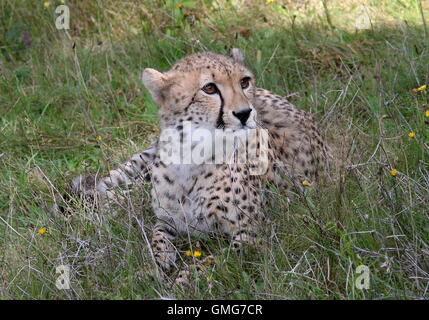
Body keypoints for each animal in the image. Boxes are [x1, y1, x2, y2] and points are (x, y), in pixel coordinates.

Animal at [57, 48, 332, 274]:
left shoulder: (251, 233)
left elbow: (212, 263)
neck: (190, 155)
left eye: (244, 82)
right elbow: (156, 238)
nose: (245, 113)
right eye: (209, 88)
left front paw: (181, 280)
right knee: (115, 188)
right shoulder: (167, 220)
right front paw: (154, 266)